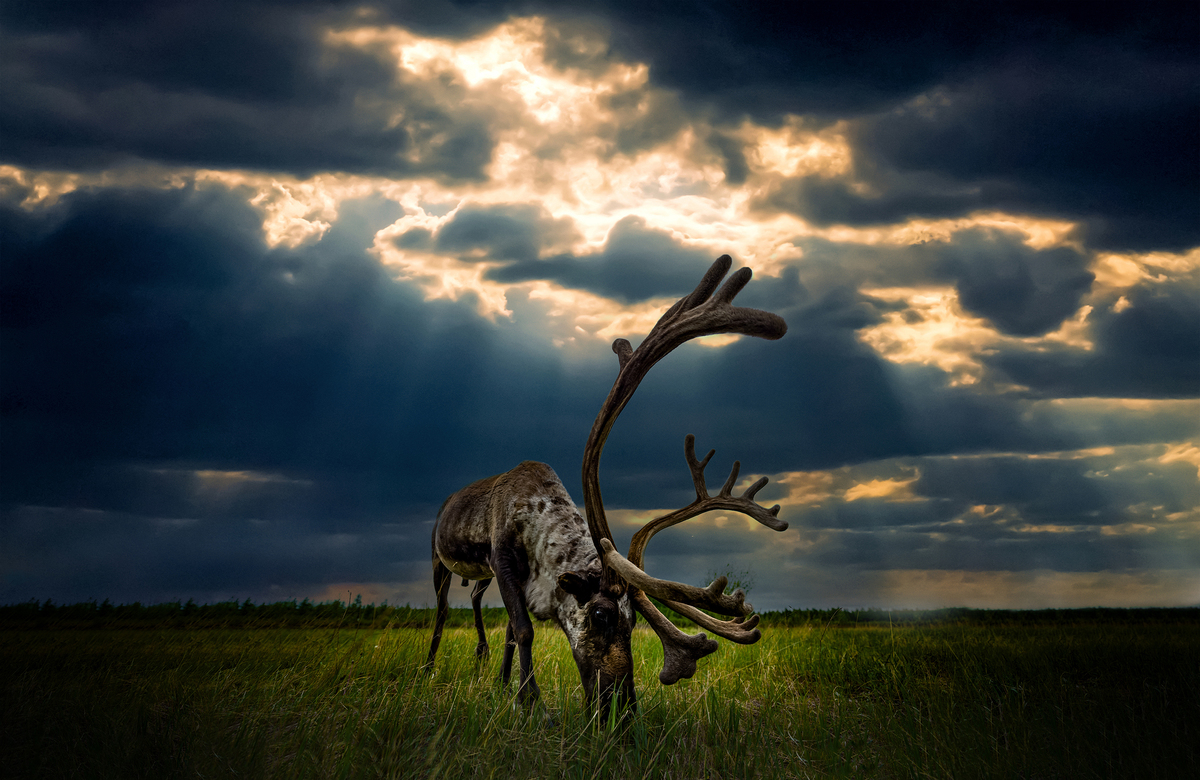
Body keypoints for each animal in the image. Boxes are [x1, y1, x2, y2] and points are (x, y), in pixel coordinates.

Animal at [423, 255, 788, 716]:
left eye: (633, 620)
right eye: (600, 615)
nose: (623, 708)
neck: (537, 519)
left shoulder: (513, 578)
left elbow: (510, 630)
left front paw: (508, 688)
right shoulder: (501, 558)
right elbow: (523, 629)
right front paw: (531, 702)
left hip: (477, 574)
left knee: (472, 600)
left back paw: (488, 665)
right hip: (439, 558)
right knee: (440, 612)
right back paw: (428, 668)